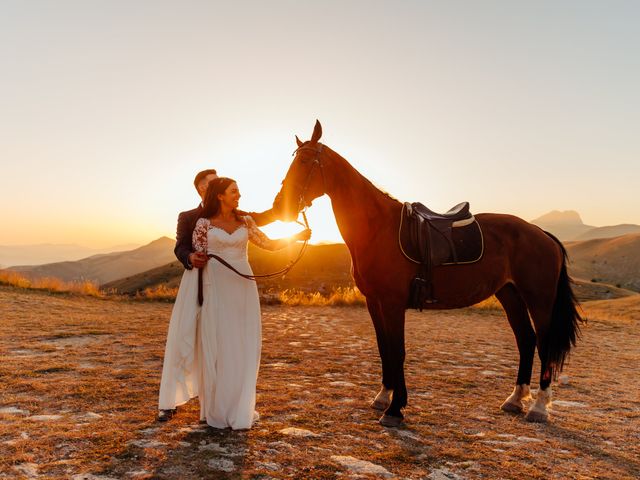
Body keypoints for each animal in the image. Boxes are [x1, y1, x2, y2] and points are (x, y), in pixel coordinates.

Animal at [272, 120, 584, 428]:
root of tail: (541, 234)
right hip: (509, 294)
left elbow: (397, 350)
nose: (279, 206)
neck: (378, 229)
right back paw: (515, 399)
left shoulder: (393, 303)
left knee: (543, 343)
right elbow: (384, 348)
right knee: (526, 340)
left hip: (539, 300)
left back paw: (539, 408)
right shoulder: (374, 302)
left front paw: (395, 409)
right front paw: (384, 396)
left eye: (306, 162)